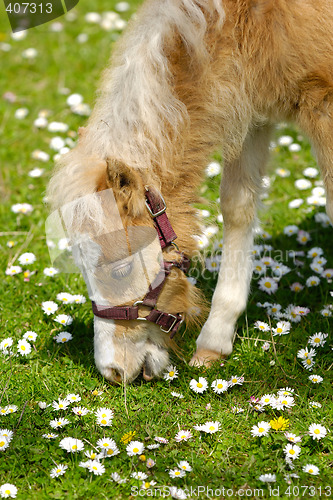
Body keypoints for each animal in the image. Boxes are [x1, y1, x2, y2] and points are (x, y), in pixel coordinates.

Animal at [48, 0, 332, 382]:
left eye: (121, 270)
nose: (112, 371)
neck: (246, 21)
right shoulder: (248, 107)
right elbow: (237, 205)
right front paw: (214, 341)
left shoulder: (322, 104)